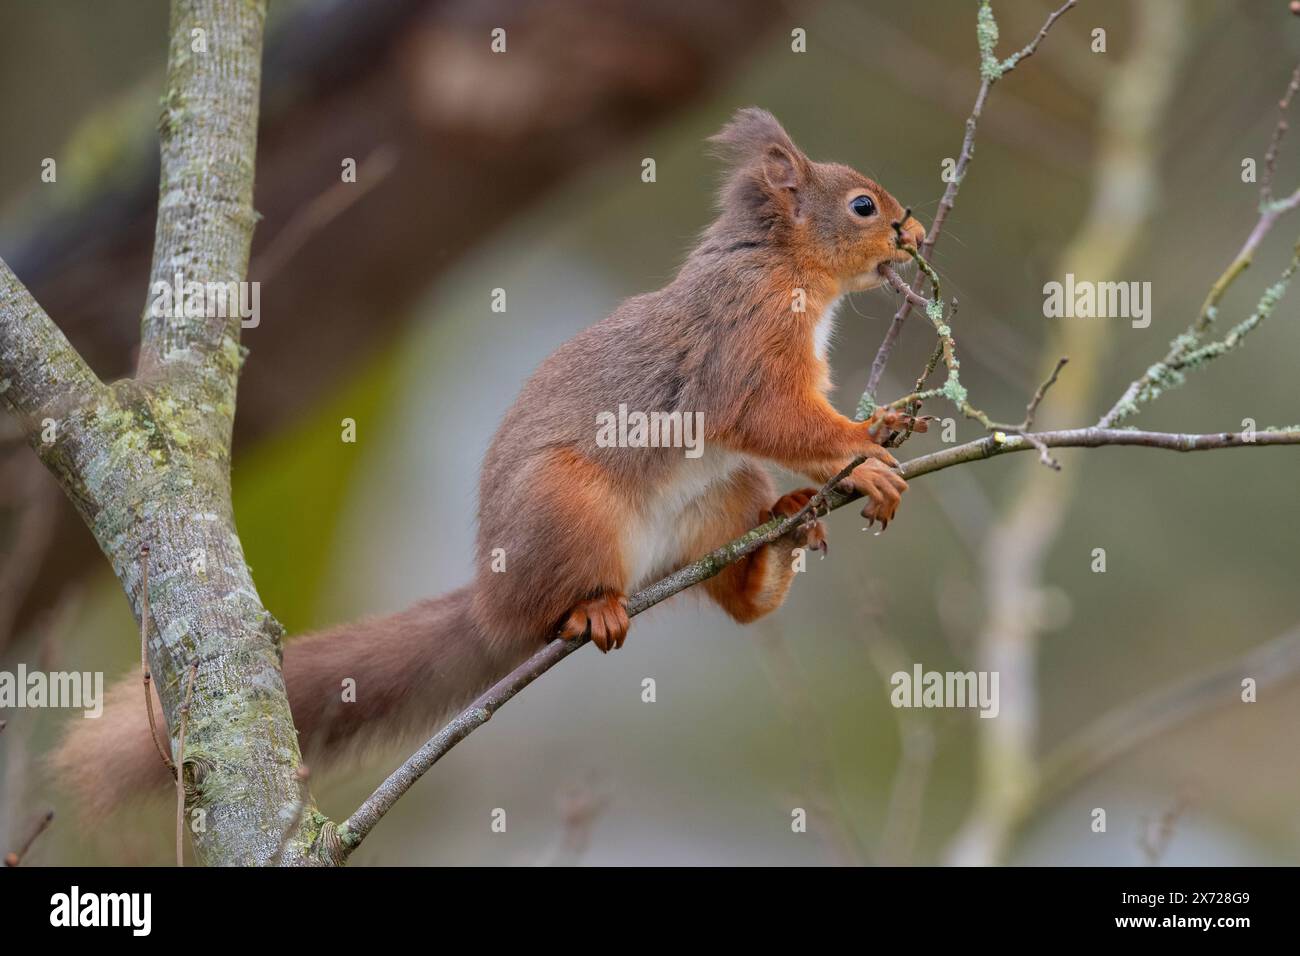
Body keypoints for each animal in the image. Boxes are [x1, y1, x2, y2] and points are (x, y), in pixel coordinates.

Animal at [50, 110, 925, 816]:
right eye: (862, 205)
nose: (915, 235)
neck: (782, 265)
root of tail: (490, 599)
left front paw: (884, 422)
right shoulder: (747, 349)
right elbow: (779, 421)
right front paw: (863, 453)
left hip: (718, 498)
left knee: (742, 603)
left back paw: (780, 539)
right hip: (566, 509)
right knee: (560, 605)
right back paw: (594, 608)